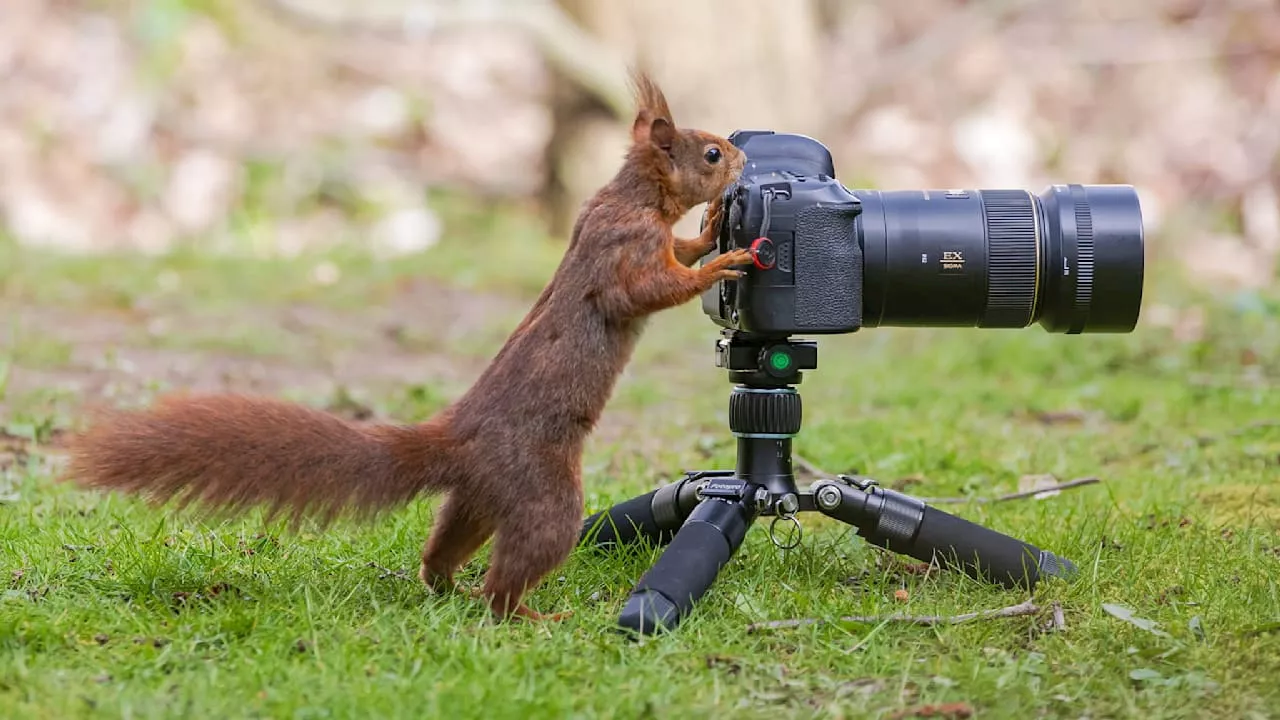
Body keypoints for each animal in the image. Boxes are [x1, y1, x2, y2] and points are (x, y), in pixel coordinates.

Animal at [64, 74, 752, 622]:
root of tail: (456, 442)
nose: (744, 161)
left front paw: (711, 232)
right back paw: (529, 615)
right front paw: (725, 262)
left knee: (441, 551)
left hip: (476, 501)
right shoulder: (624, 251)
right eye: (712, 152)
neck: (634, 196)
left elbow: (679, 252)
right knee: (508, 581)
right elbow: (650, 289)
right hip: (546, 496)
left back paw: (447, 586)